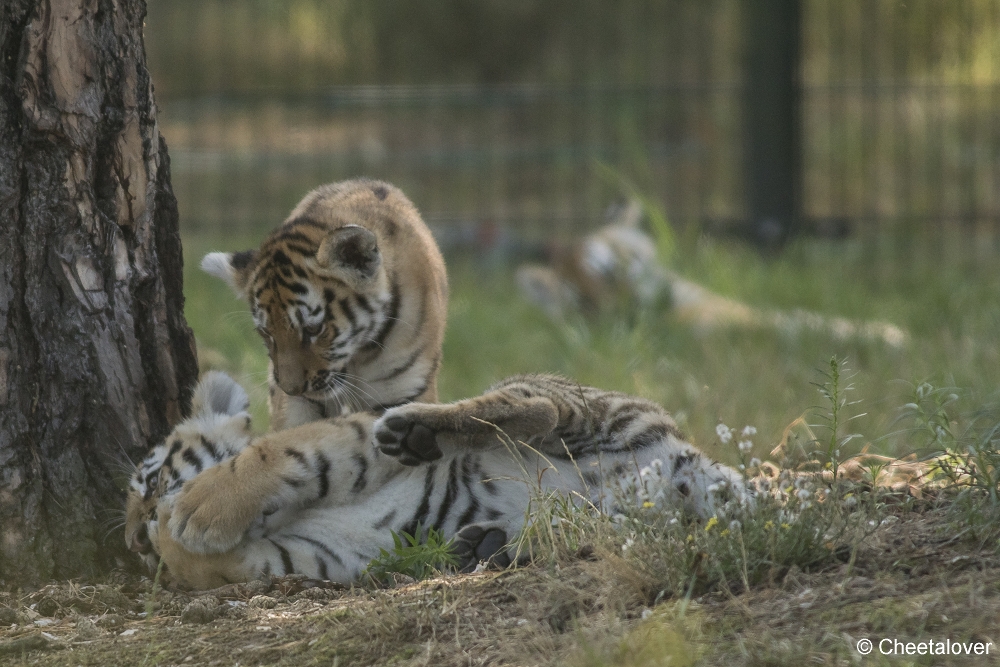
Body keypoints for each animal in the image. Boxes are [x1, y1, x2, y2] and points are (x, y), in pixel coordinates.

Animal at [125, 376, 748, 588]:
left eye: (151, 480)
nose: (132, 540)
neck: (285, 516)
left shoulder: (349, 439)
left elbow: (275, 454)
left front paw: (188, 514)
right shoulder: (323, 554)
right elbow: (220, 567)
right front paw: (171, 547)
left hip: (588, 406)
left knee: (534, 405)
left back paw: (418, 431)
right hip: (615, 524)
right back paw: (484, 546)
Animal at [201, 177, 448, 430]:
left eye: (313, 329)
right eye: (266, 332)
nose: (291, 389)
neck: (358, 356)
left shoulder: (404, 392)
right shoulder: (299, 405)